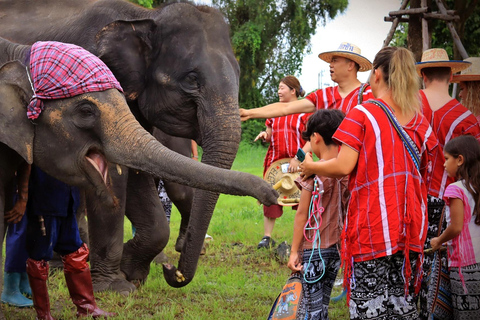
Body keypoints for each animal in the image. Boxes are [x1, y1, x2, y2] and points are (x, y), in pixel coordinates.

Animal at [0, 0, 255, 292]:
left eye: (239, 74)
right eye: (191, 79)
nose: (174, 272)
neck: (143, 17)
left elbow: (134, 170)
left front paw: (133, 271)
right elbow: (114, 170)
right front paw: (116, 285)